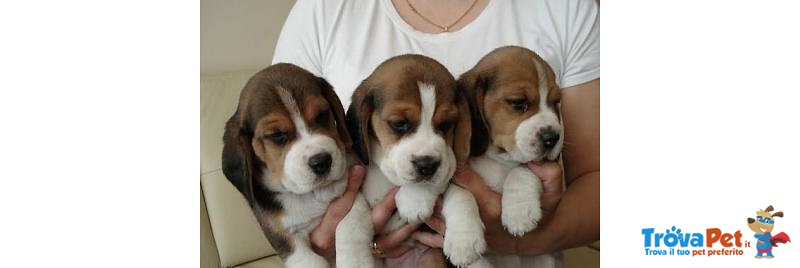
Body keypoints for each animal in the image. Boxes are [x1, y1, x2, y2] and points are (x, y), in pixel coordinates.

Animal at [222, 63, 376, 266]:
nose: (321, 162)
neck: (308, 195)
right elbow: (311, 261)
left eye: (321, 116)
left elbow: (349, 229)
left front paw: (354, 262)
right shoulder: (285, 239)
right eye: (277, 135)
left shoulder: (350, 197)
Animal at [346, 54, 484, 266]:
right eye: (399, 124)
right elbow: (350, 218)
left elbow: (460, 193)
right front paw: (353, 259)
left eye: (446, 124)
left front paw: (465, 239)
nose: (428, 165)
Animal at [456, 45, 564, 266]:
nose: (553, 137)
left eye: (556, 102)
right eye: (518, 103)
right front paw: (463, 242)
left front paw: (519, 212)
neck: (496, 157)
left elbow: (521, 170)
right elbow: (459, 194)